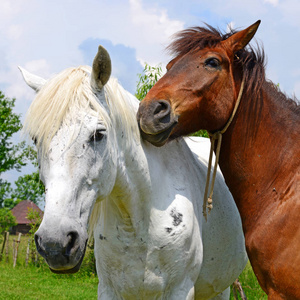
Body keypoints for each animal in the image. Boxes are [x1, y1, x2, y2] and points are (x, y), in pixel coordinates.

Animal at [19, 45, 247, 298]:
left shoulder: (181, 289)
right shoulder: (109, 290)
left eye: (98, 134)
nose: (54, 244)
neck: (139, 224)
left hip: (219, 289)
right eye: (36, 139)